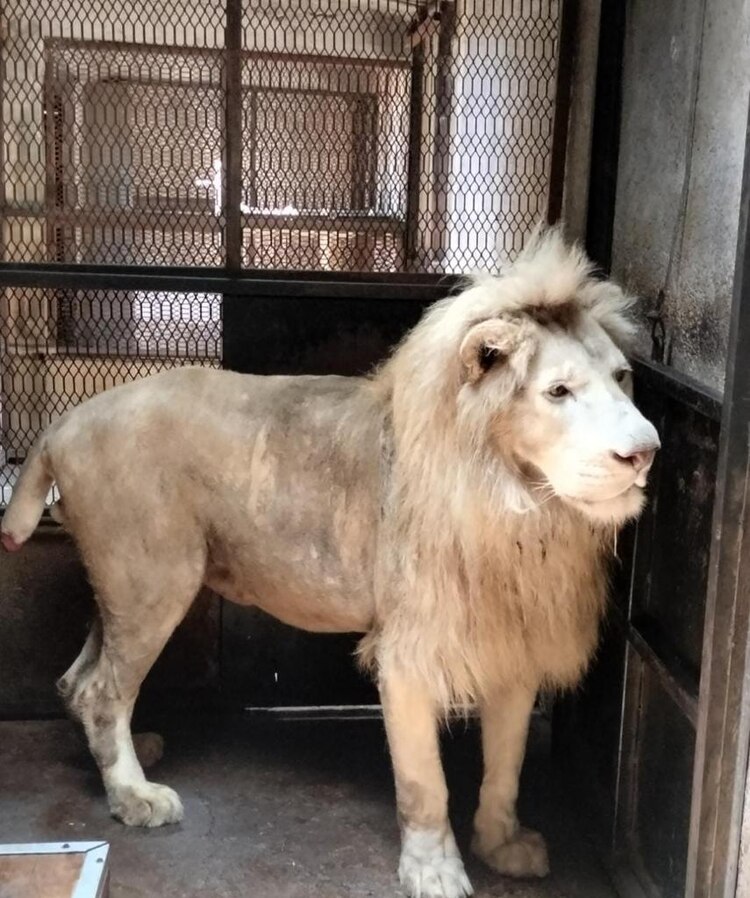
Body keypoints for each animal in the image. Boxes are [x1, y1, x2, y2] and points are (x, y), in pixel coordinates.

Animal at [1, 228, 659, 898]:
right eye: (558, 391)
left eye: (622, 377)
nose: (646, 453)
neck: (524, 508)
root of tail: (65, 421)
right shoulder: (409, 650)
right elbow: (425, 784)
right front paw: (433, 869)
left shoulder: (515, 640)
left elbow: (507, 763)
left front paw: (501, 843)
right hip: (154, 579)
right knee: (104, 690)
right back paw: (134, 796)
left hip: (125, 584)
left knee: (78, 681)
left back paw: (131, 755)